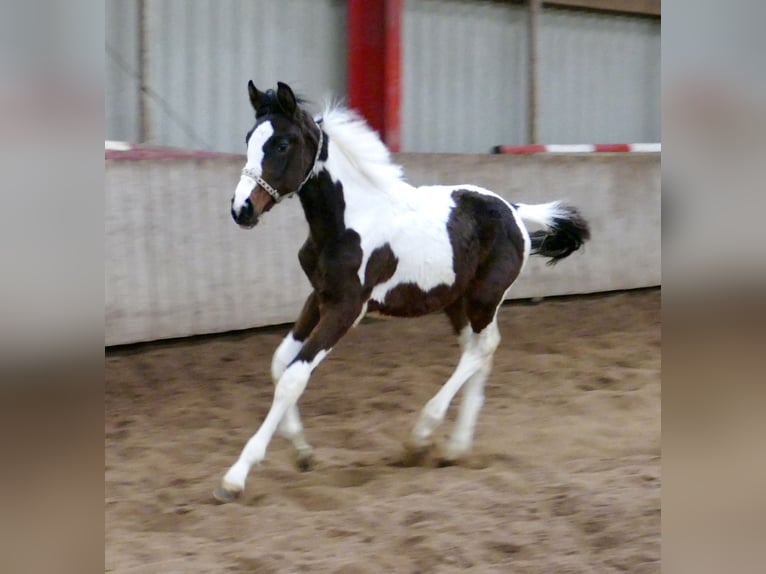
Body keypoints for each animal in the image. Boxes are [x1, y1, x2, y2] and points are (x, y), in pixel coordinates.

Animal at [218, 81, 592, 504]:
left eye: (281, 144)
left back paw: (422, 435)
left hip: (483, 298)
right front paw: (302, 452)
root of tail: (513, 210)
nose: (242, 209)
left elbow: (294, 376)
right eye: (249, 138)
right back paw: (455, 447)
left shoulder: (347, 307)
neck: (348, 220)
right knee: (480, 351)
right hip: (456, 302)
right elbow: (280, 363)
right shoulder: (319, 296)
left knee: (483, 348)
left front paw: (236, 476)